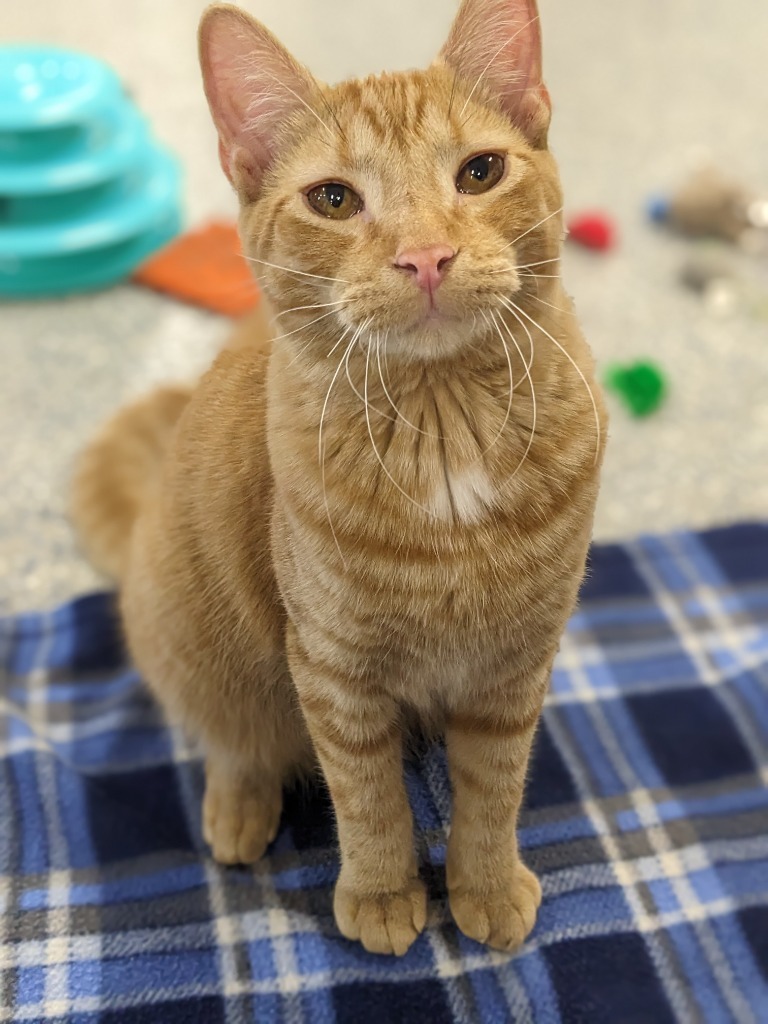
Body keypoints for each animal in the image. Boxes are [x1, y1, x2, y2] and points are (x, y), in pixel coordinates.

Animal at [72, 0, 606, 954]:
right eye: (333, 199)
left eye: (479, 172)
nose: (426, 256)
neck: (442, 430)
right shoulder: (333, 670)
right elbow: (369, 798)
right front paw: (386, 895)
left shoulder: (513, 667)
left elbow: (493, 787)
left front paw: (483, 885)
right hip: (196, 640)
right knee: (232, 738)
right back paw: (238, 810)